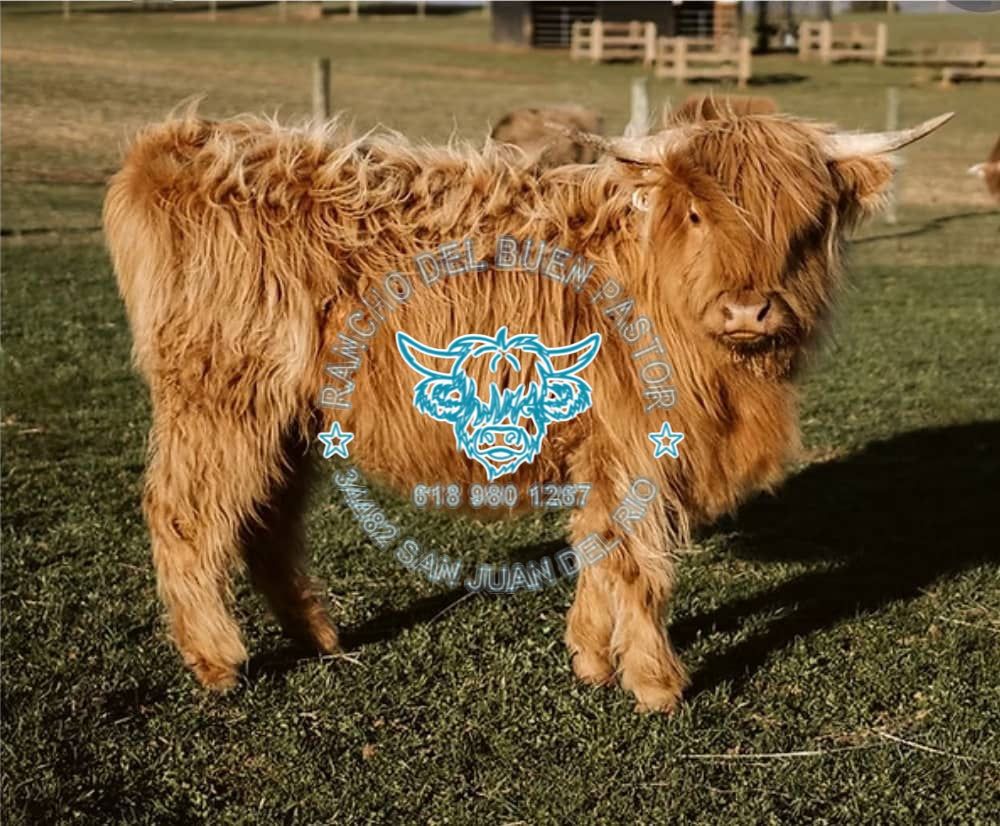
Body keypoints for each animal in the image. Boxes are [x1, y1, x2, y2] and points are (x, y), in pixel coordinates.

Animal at [103, 102, 951, 711]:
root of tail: (176, 147)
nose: (750, 311)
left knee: (266, 522)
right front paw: (656, 684)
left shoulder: (609, 450)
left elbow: (601, 549)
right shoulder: (634, 446)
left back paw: (318, 636)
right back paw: (217, 660)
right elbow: (638, 562)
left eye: (806, 225)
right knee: (186, 514)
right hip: (219, 399)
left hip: (286, 418)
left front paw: (591, 657)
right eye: (698, 214)